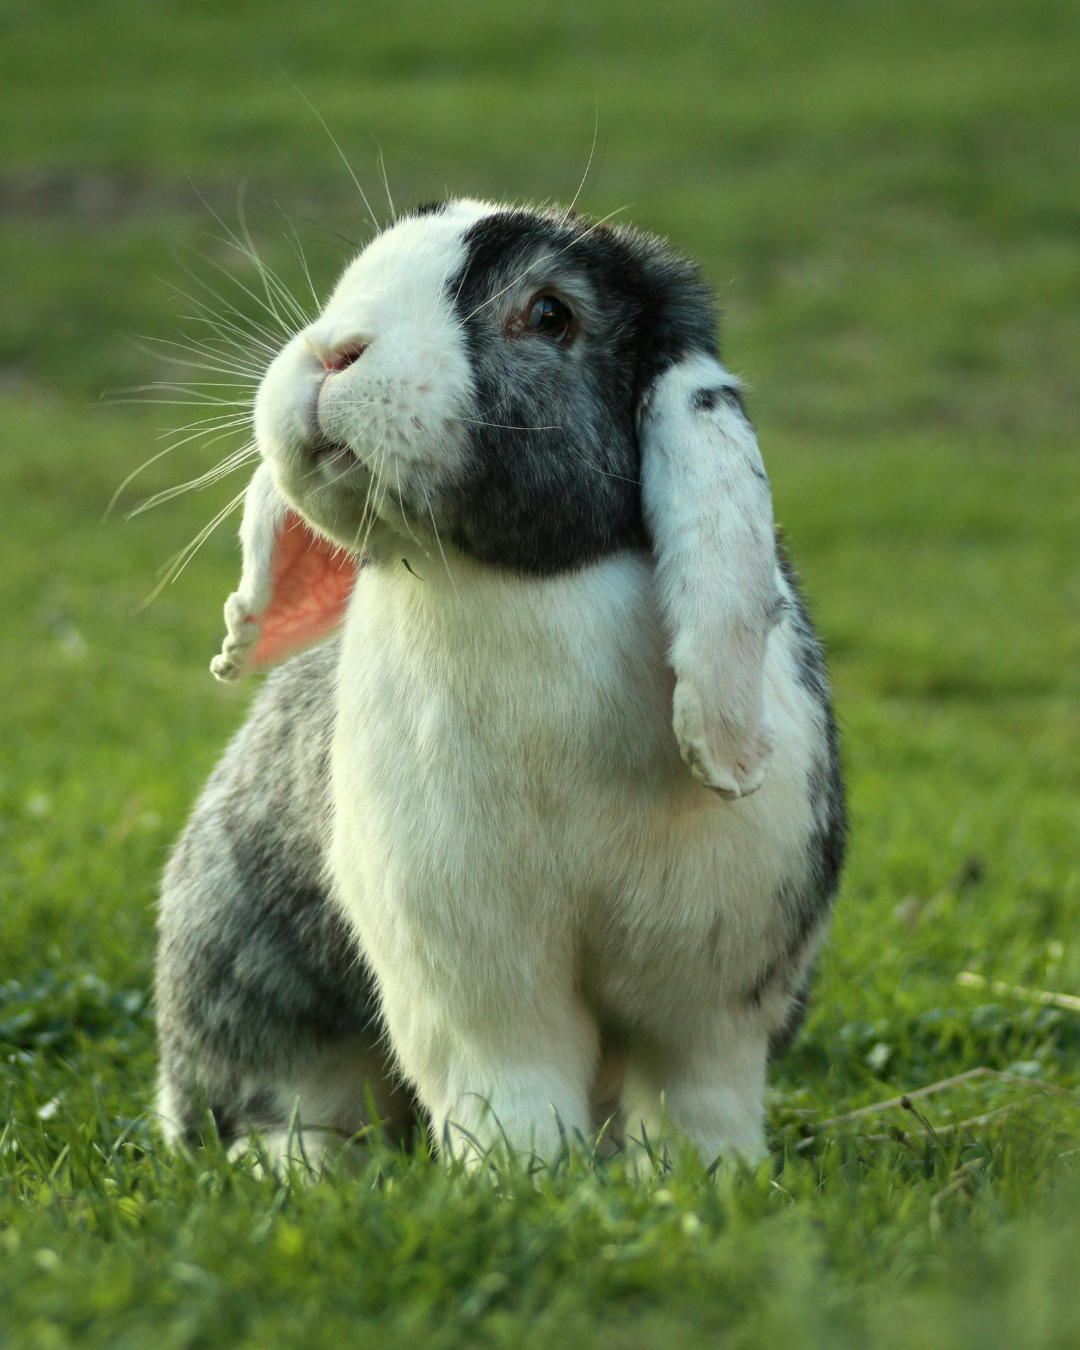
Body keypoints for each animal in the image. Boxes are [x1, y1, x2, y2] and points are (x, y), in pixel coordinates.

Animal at [155, 199, 845, 1171]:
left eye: (550, 314)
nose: (332, 351)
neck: (519, 582)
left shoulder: (714, 989)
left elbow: (697, 1098)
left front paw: (705, 1187)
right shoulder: (470, 967)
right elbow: (511, 1085)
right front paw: (523, 1181)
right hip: (244, 975)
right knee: (278, 1104)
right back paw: (304, 1173)